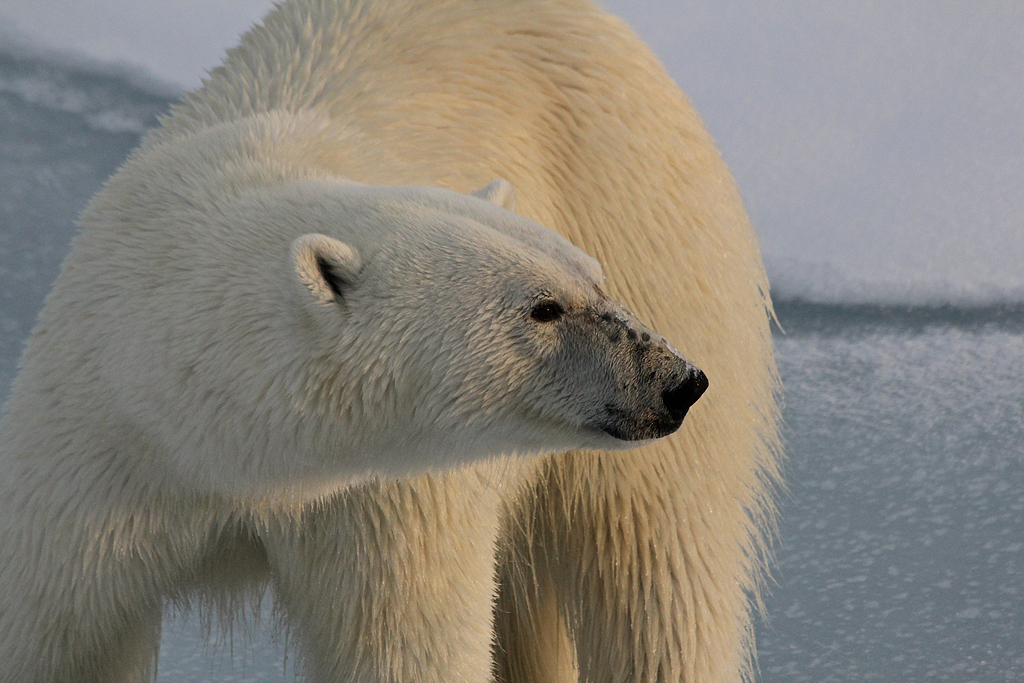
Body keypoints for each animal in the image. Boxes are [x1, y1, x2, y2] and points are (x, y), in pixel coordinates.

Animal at [0, 1, 774, 683]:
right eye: (544, 308)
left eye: (592, 277)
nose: (675, 380)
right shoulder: (95, 464)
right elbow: (53, 638)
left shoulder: (382, 501)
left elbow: (404, 647)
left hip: (649, 212)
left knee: (659, 575)